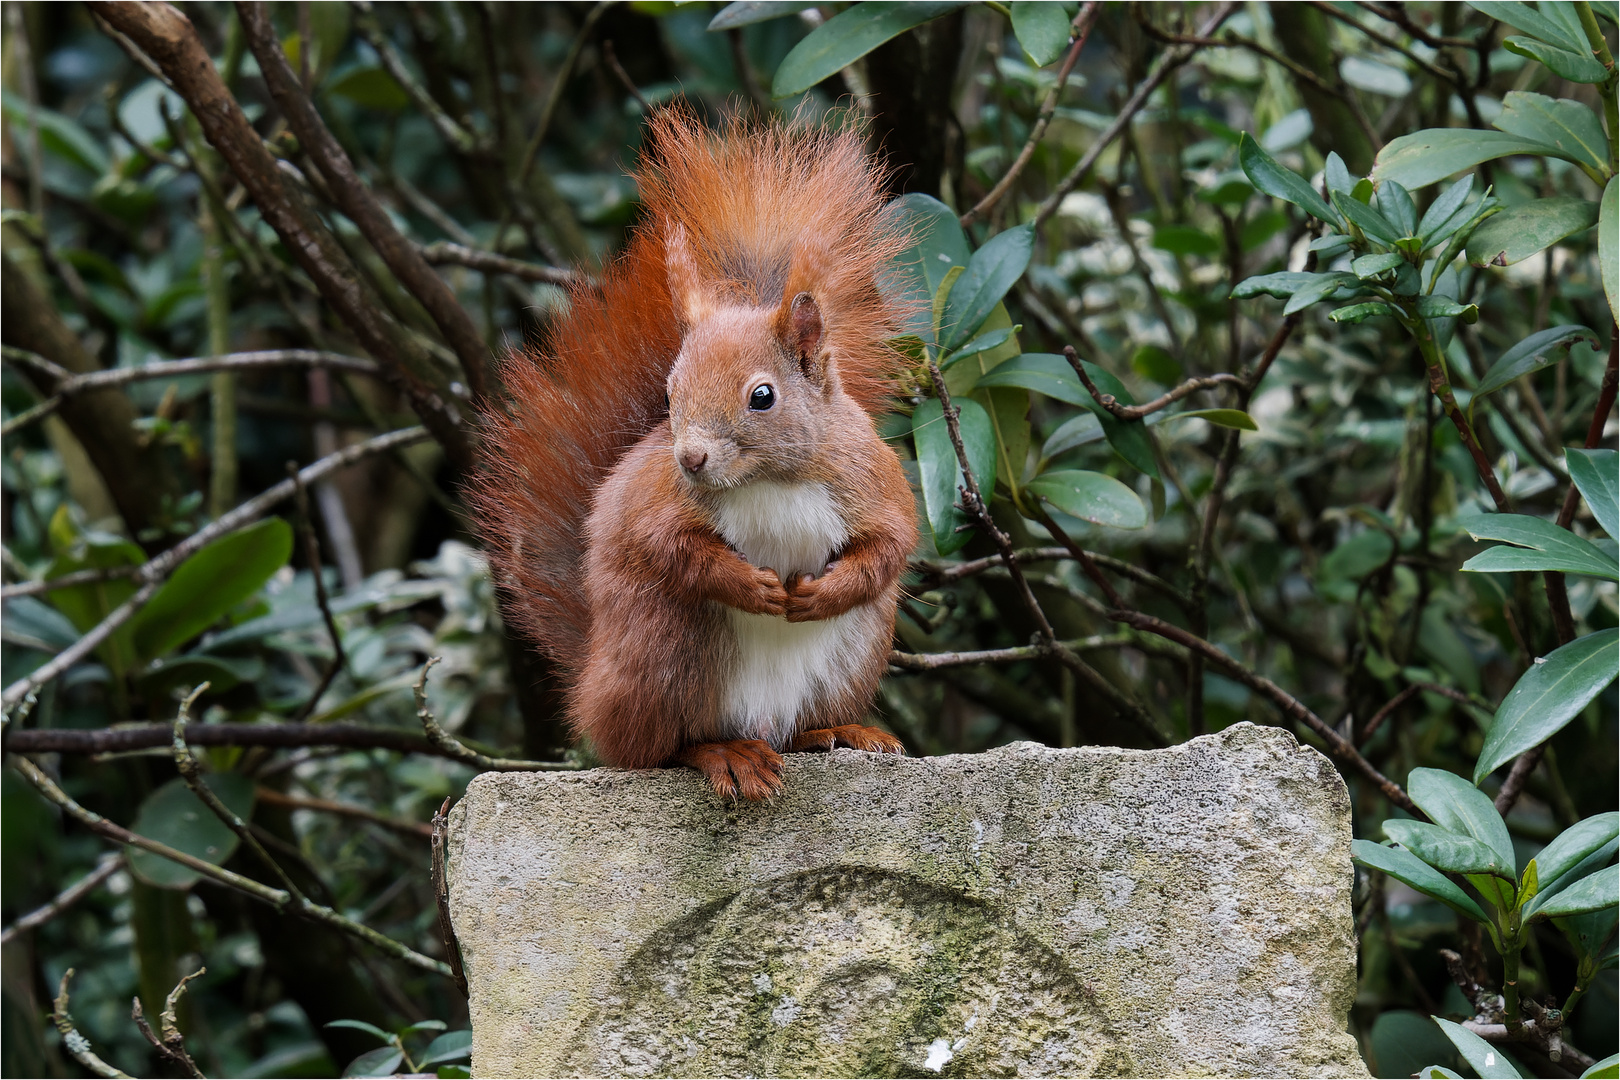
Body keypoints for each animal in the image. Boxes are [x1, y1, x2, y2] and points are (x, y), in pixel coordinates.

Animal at [473, 111, 920, 803]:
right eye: (669, 393)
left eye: (762, 396)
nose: (690, 460)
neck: (767, 480)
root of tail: (592, 687)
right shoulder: (653, 502)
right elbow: (667, 545)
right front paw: (750, 584)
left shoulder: (871, 480)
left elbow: (889, 546)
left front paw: (822, 592)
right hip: (666, 652)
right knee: (656, 750)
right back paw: (724, 753)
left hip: (854, 654)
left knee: (798, 727)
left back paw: (840, 732)